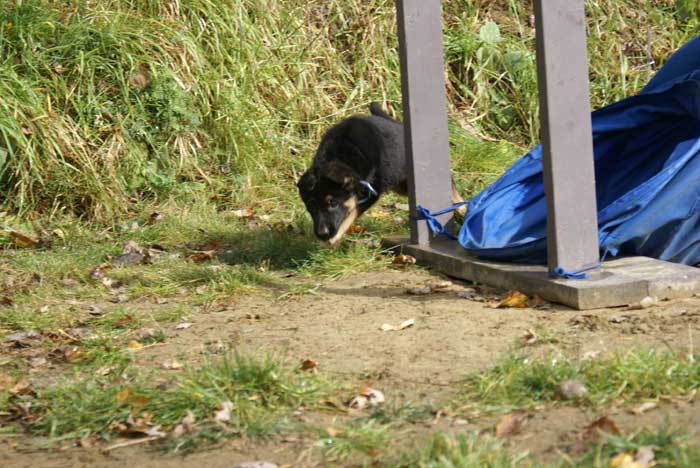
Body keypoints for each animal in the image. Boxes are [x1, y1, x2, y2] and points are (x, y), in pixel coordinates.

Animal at [296, 102, 464, 245]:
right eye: (310, 206)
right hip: (402, 186)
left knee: (451, 187)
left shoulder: (371, 191)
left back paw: (462, 209)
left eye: (333, 203)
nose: (322, 233)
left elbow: (351, 213)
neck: (340, 158)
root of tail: (397, 124)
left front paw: (332, 238)